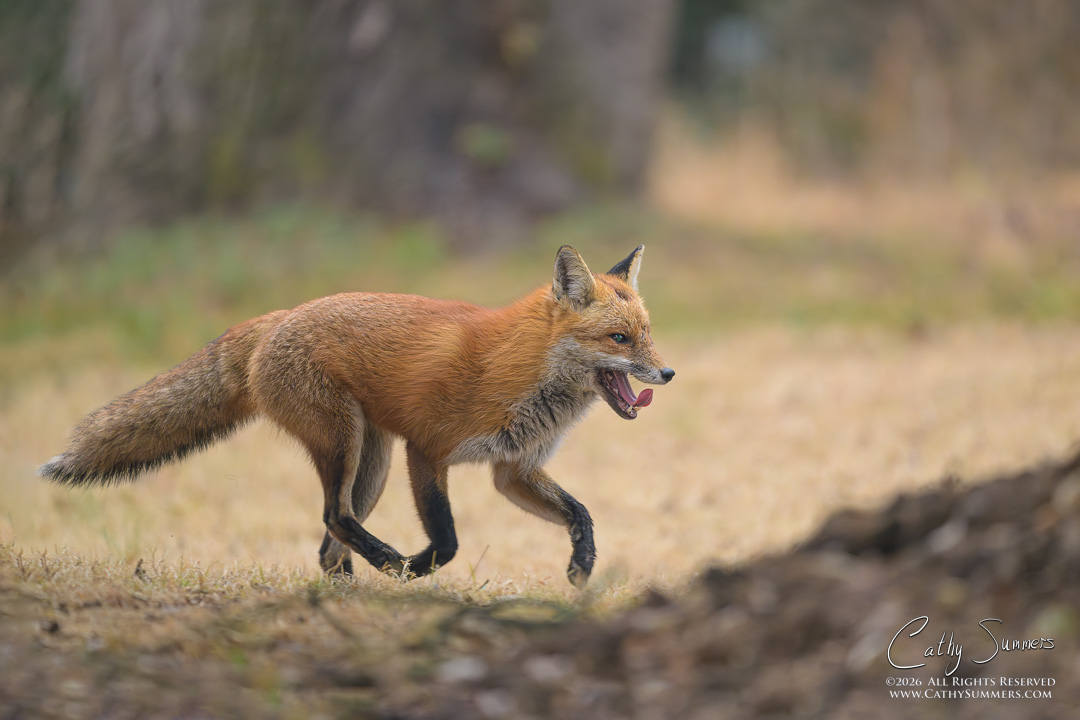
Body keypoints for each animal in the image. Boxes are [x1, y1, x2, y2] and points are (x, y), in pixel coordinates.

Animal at [40, 245, 673, 586]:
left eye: (648, 335)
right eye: (619, 339)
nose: (666, 375)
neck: (518, 370)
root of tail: (278, 317)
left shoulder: (511, 470)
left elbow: (581, 513)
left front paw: (582, 567)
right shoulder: (428, 450)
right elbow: (448, 540)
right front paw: (414, 568)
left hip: (371, 464)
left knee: (328, 539)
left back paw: (347, 590)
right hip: (345, 443)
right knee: (333, 517)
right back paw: (385, 563)